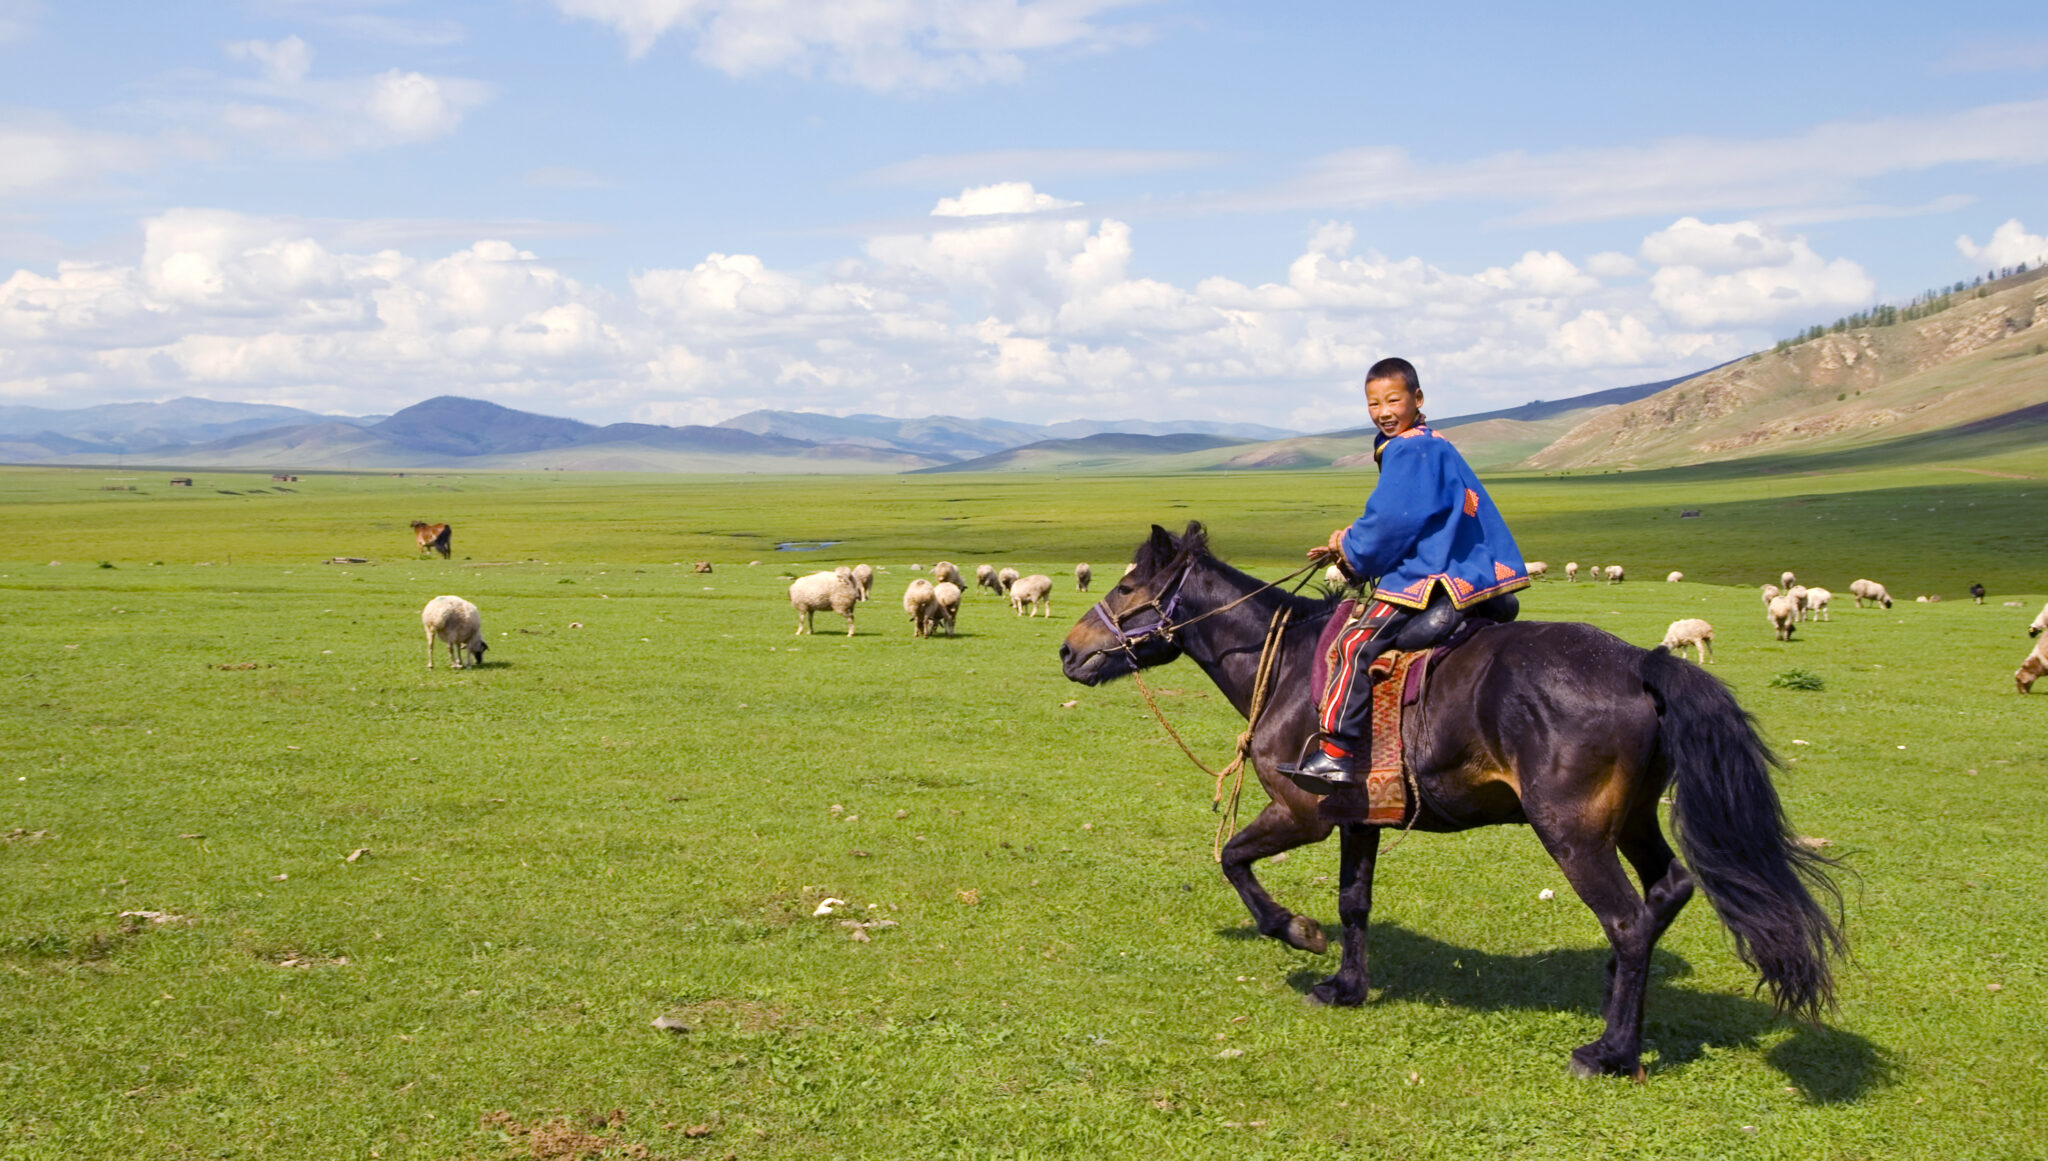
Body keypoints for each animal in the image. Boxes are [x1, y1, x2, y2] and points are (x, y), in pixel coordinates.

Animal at [1064, 528, 1851, 1081]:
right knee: (1669, 888)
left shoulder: (1302, 813)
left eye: (1129, 586)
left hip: (1573, 832)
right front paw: (1346, 985)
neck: (1284, 664)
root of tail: (1640, 663)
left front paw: (1296, 932)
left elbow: (1233, 858)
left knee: (1629, 919)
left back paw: (1610, 1051)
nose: (1070, 652)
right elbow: (1354, 902)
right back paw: (1612, 997)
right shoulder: (1358, 817)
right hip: (1630, 820)